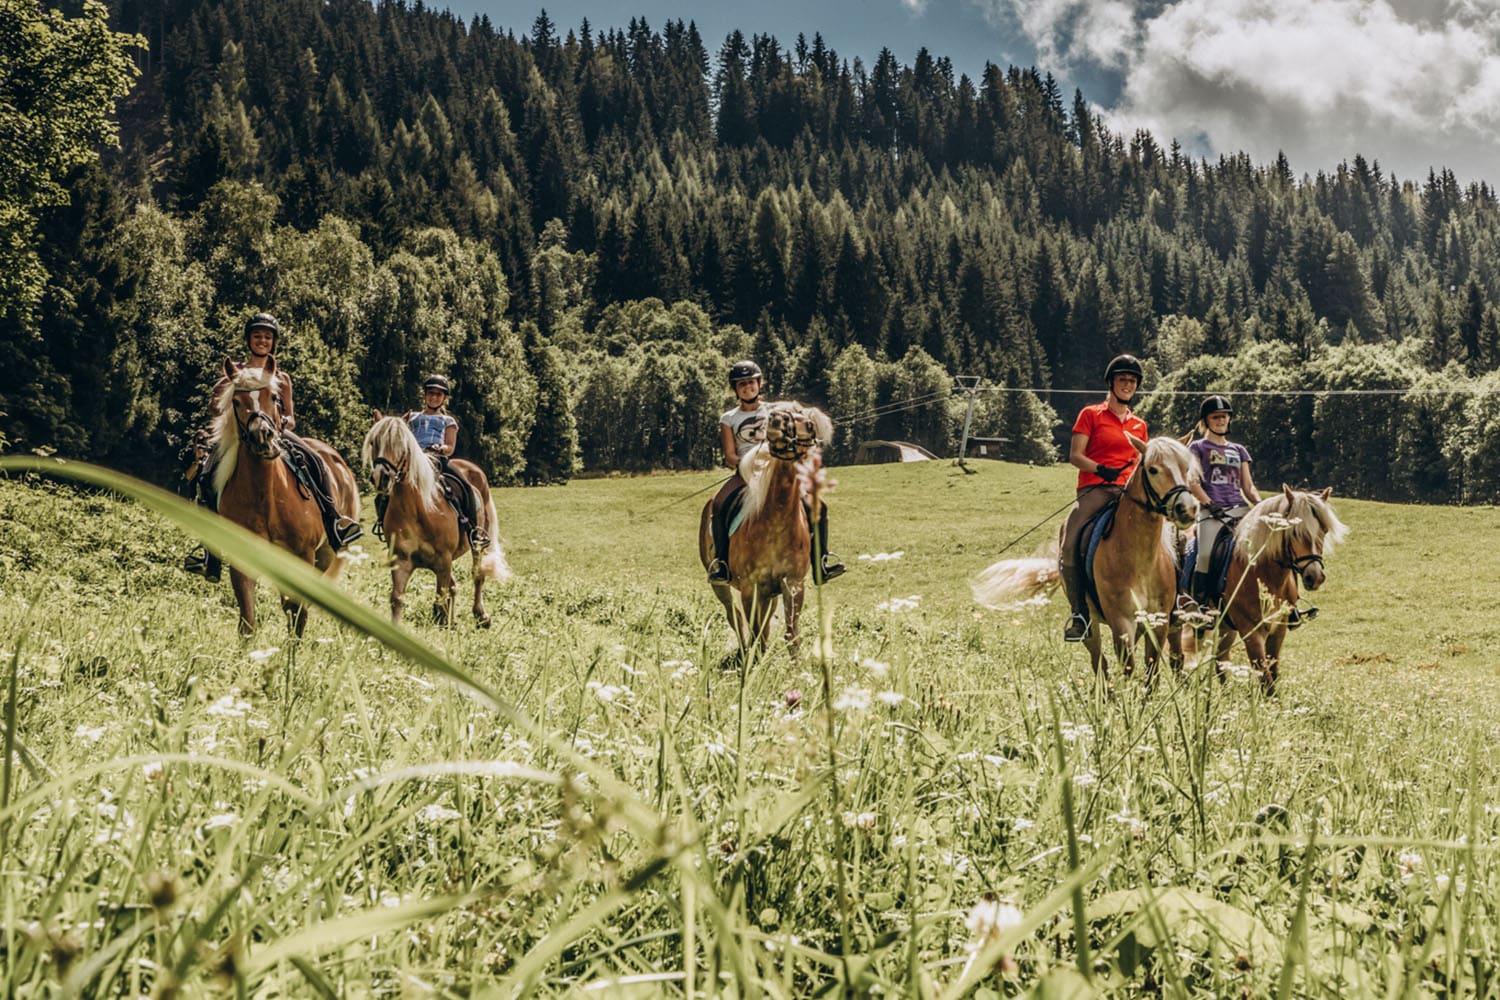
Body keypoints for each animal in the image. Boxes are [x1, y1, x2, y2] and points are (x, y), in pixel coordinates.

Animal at [210, 359, 361, 638]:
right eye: (236, 401)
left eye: (274, 397)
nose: (263, 438)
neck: (267, 499)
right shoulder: (242, 557)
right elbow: (248, 619)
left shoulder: (301, 556)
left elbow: (296, 613)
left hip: (325, 555)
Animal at [360, 413, 513, 626]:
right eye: (374, 442)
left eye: (401, 444)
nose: (381, 478)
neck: (417, 510)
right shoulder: (402, 561)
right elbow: (397, 599)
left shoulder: (443, 561)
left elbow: (441, 600)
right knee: (454, 586)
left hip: (476, 544)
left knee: (477, 575)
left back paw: (481, 616)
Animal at [699, 401, 834, 653]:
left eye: (809, 425)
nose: (776, 420)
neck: (776, 525)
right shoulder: (750, 588)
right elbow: (754, 632)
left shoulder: (792, 585)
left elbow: (791, 635)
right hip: (722, 586)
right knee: (734, 616)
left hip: (769, 594)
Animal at [972, 437, 1206, 680]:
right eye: (1153, 469)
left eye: (1186, 469)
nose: (1187, 509)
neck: (1141, 561)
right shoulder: (1122, 622)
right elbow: (1128, 669)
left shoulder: (1159, 621)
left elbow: (1152, 673)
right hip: (1092, 626)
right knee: (1099, 664)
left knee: (1176, 657)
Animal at [1206, 485, 1350, 695]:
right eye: (1295, 532)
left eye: (1323, 531)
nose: (1315, 577)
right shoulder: (1251, 631)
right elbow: (1266, 681)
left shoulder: (1278, 628)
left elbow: (1272, 673)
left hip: (1225, 626)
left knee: (1220, 659)